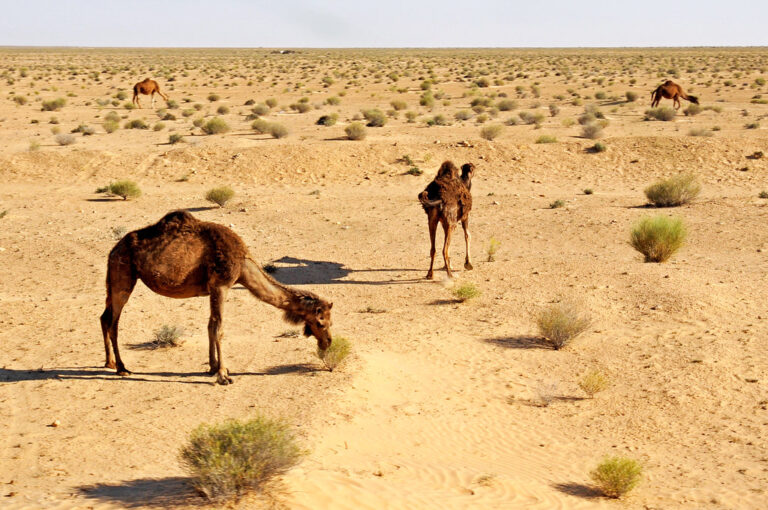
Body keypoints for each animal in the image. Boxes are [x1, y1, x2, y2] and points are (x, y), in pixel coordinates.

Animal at [100, 210, 333, 385]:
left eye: (330, 322)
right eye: (321, 323)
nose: (328, 342)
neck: (243, 265)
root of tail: (113, 250)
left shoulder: (212, 288)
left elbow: (210, 325)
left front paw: (213, 367)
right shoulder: (221, 285)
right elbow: (219, 328)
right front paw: (223, 375)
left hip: (115, 278)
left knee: (104, 316)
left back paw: (109, 363)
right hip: (124, 276)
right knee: (113, 322)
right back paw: (122, 368)